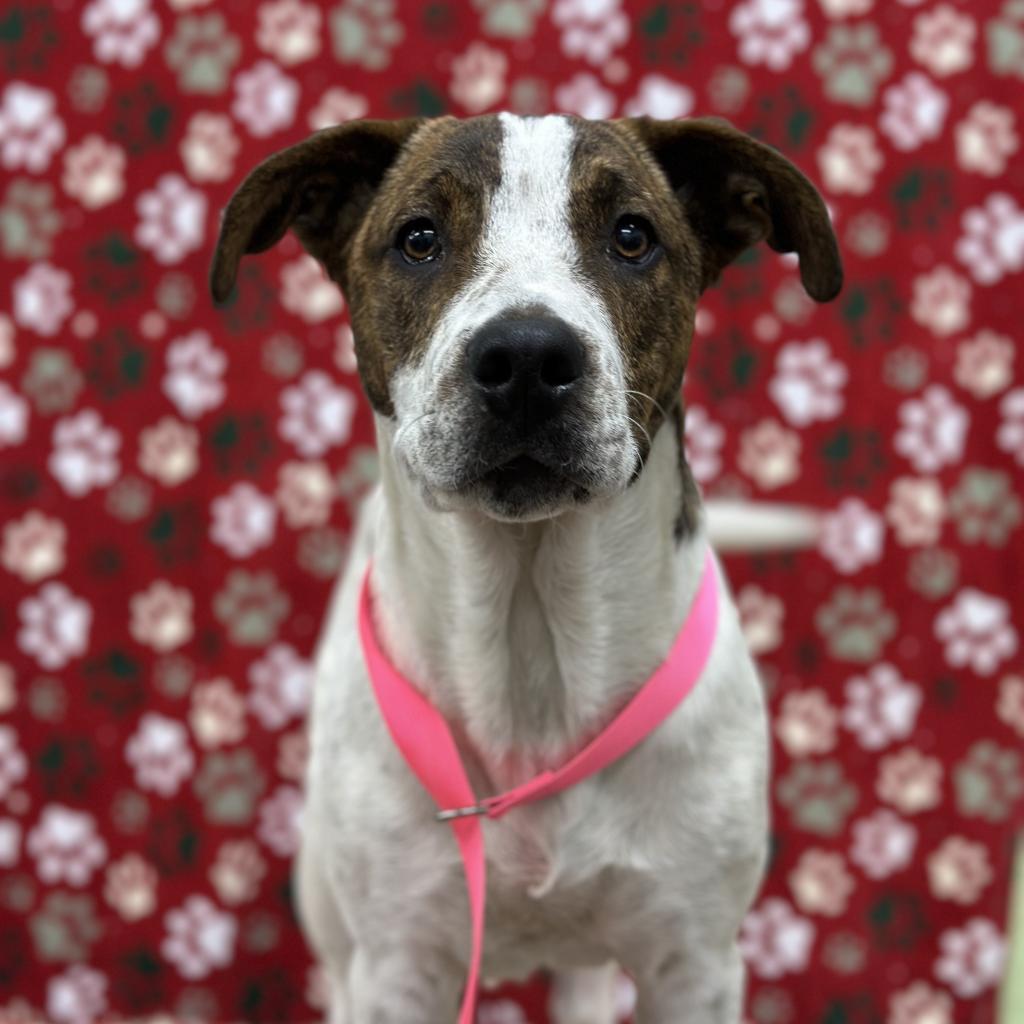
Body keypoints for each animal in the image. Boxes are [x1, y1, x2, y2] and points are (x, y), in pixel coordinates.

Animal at [209, 114, 839, 1024]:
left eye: (632, 236)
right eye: (419, 239)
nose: (529, 358)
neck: (532, 634)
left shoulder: (694, 962)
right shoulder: (397, 967)